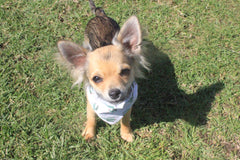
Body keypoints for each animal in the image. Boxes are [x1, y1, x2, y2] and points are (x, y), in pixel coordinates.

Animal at [57, 0, 149, 142]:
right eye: (96, 79)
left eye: (125, 71)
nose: (115, 92)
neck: (113, 106)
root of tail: (100, 15)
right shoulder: (90, 103)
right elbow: (91, 118)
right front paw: (90, 133)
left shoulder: (128, 105)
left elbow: (125, 120)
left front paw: (126, 133)